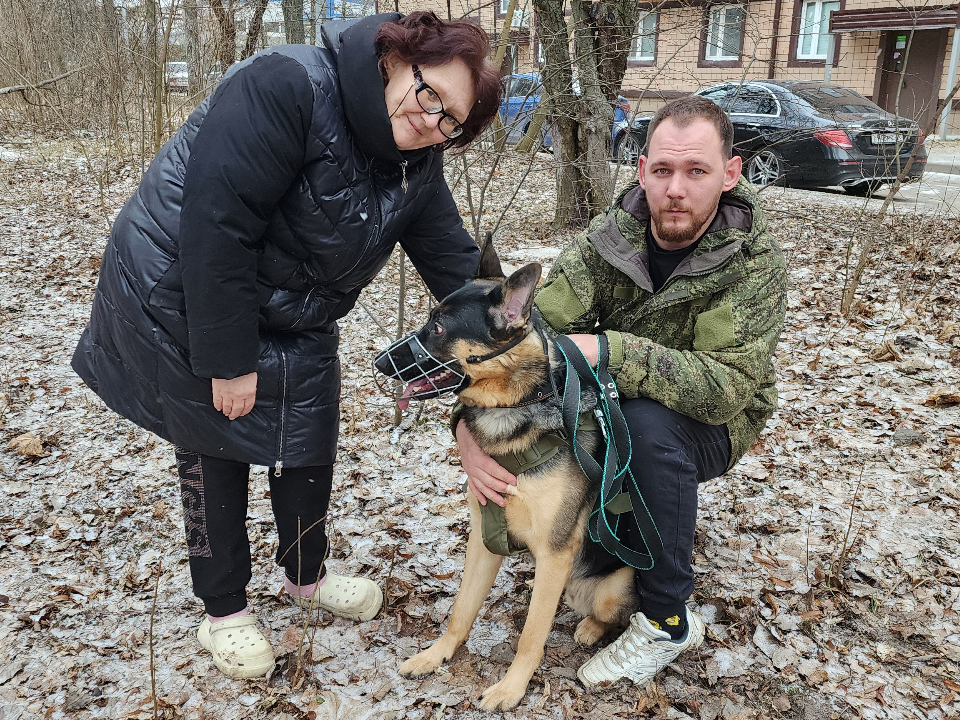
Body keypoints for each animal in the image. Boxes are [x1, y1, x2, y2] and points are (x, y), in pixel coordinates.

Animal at [374, 240, 636, 708]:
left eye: (438, 327)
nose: (379, 360)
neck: (515, 408)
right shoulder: (484, 535)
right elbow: (461, 609)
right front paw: (436, 655)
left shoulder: (554, 553)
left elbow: (531, 635)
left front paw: (512, 688)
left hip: (607, 587)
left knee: (612, 614)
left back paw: (591, 628)